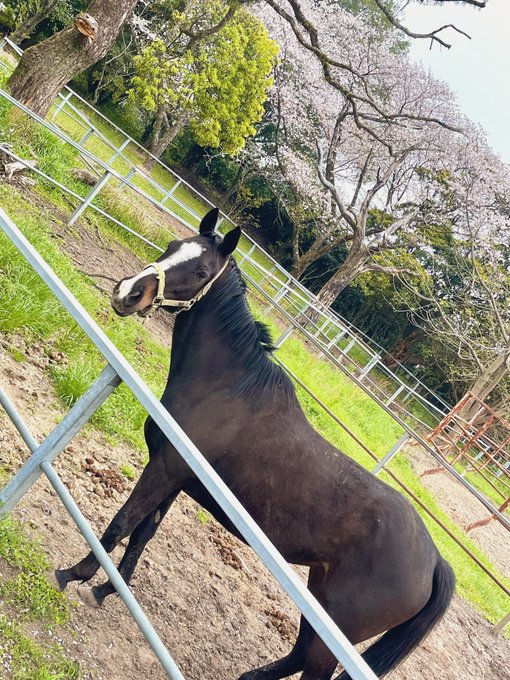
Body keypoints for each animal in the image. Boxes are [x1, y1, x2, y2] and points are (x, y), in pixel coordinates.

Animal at [54, 208, 455, 679]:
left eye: (201, 271)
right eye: (173, 247)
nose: (129, 293)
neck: (225, 389)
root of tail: (433, 561)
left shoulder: (164, 471)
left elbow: (120, 524)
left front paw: (74, 575)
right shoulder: (175, 478)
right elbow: (141, 535)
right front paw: (106, 591)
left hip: (336, 628)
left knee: (311, 666)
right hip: (318, 600)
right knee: (298, 653)